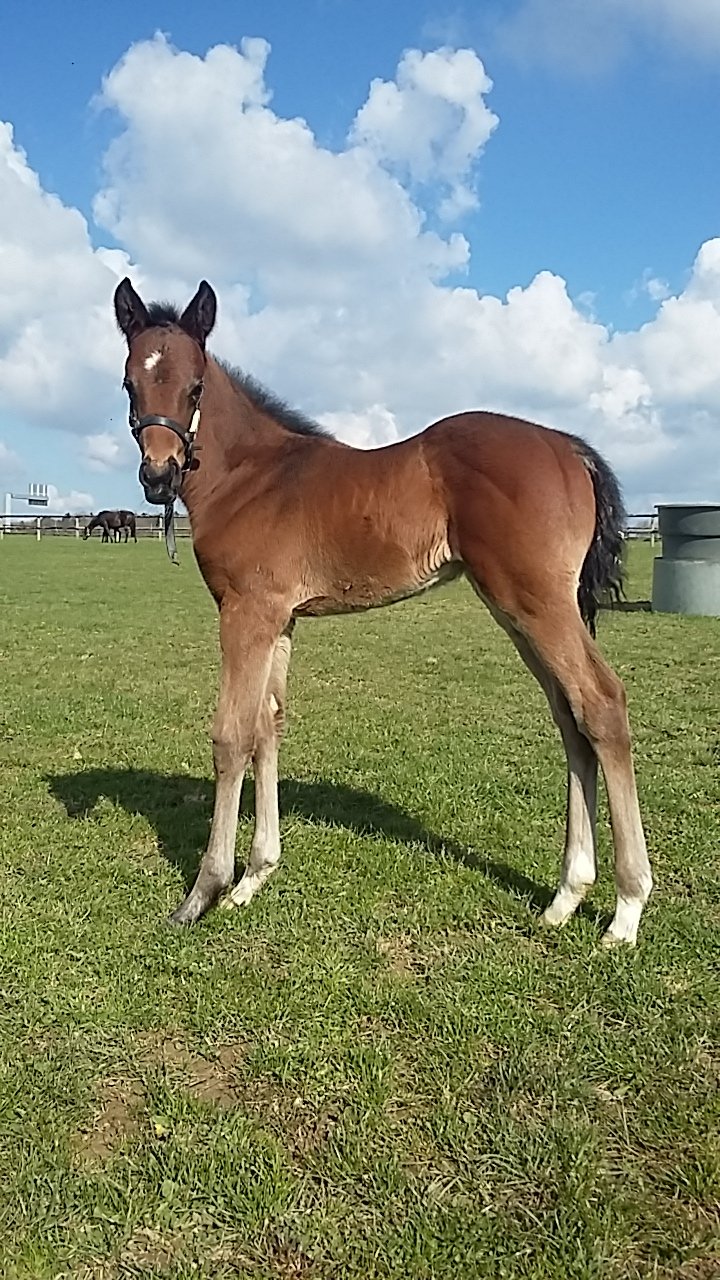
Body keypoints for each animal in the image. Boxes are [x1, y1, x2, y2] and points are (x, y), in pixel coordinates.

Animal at [113, 277, 653, 947]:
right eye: (130, 384)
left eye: (195, 386)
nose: (157, 477)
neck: (251, 476)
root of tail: (570, 448)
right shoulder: (280, 620)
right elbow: (268, 727)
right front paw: (254, 878)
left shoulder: (245, 612)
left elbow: (231, 735)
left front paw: (204, 891)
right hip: (517, 609)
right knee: (569, 715)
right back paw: (566, 896)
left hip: (538, 602)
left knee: (600, 703)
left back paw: (626, 909)